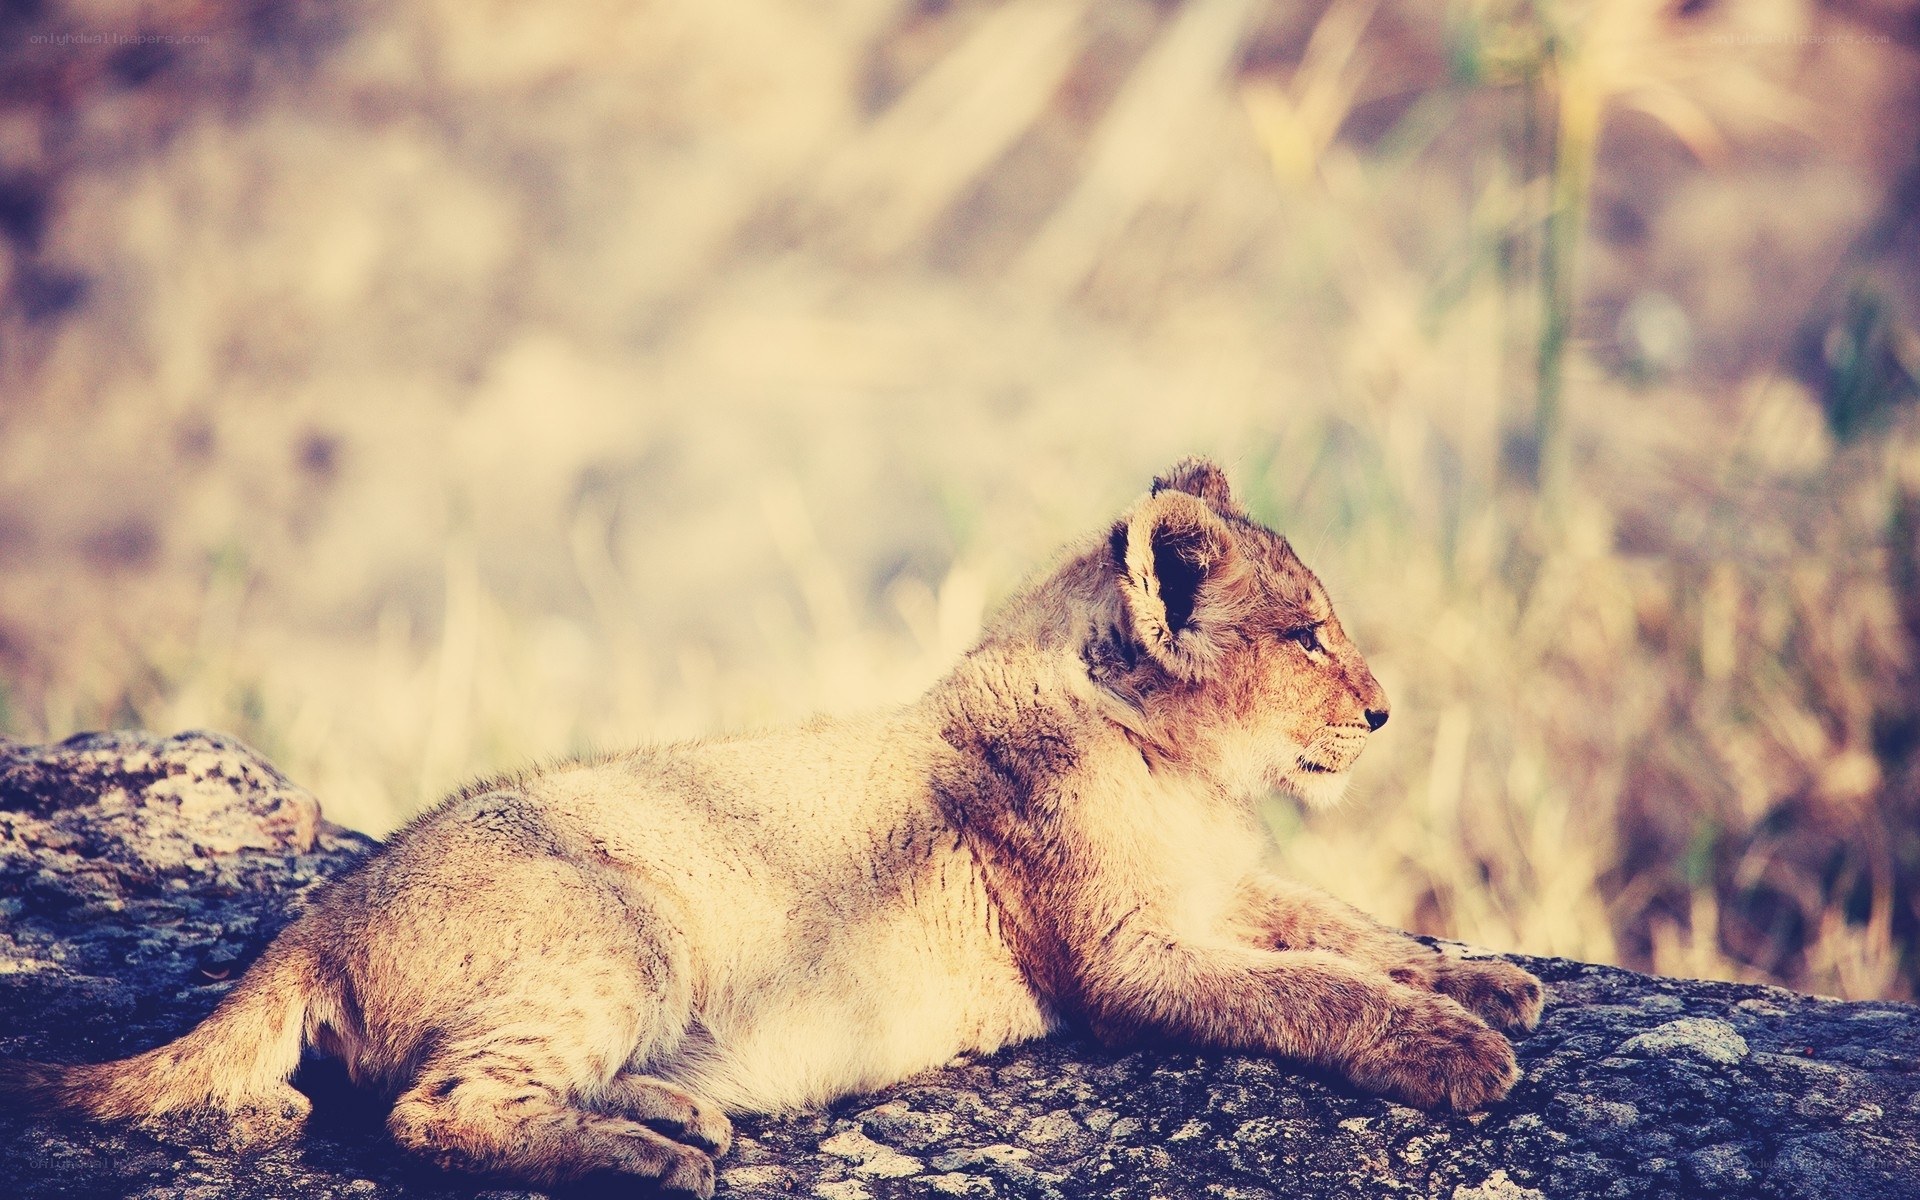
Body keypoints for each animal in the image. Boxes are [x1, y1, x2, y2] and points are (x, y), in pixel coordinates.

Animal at [1, 458, 1542, 1197]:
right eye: (1307, 636)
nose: (1387, 712)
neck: (1182, 772)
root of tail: (312, 920)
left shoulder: (1223, 892)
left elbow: (1344, 927)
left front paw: (1490, 978)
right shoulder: (1128, 956)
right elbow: (1306, 986)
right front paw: (1456, 1048)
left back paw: (675, 1113)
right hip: (618, 928)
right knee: (431, 1112)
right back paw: (652, 1163)